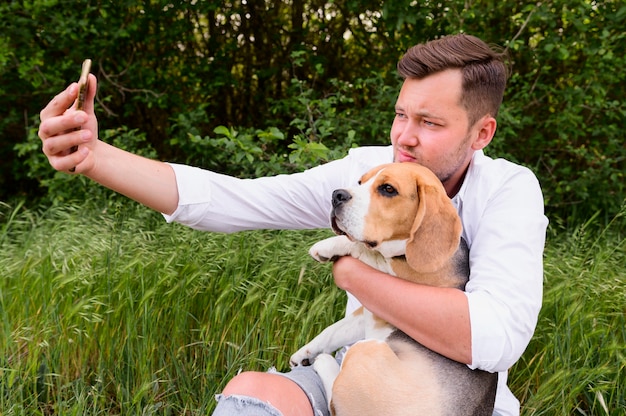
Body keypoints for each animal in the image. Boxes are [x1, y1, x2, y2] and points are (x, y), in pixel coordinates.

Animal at [288, 162, 498, 416]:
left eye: (388, 189)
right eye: (360, 182)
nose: (336, 195)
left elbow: (368, 252)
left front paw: (329, 246)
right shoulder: (372, 312)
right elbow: (333, 331)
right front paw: (305, 353)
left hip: (366, 351)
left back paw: (324, 362)